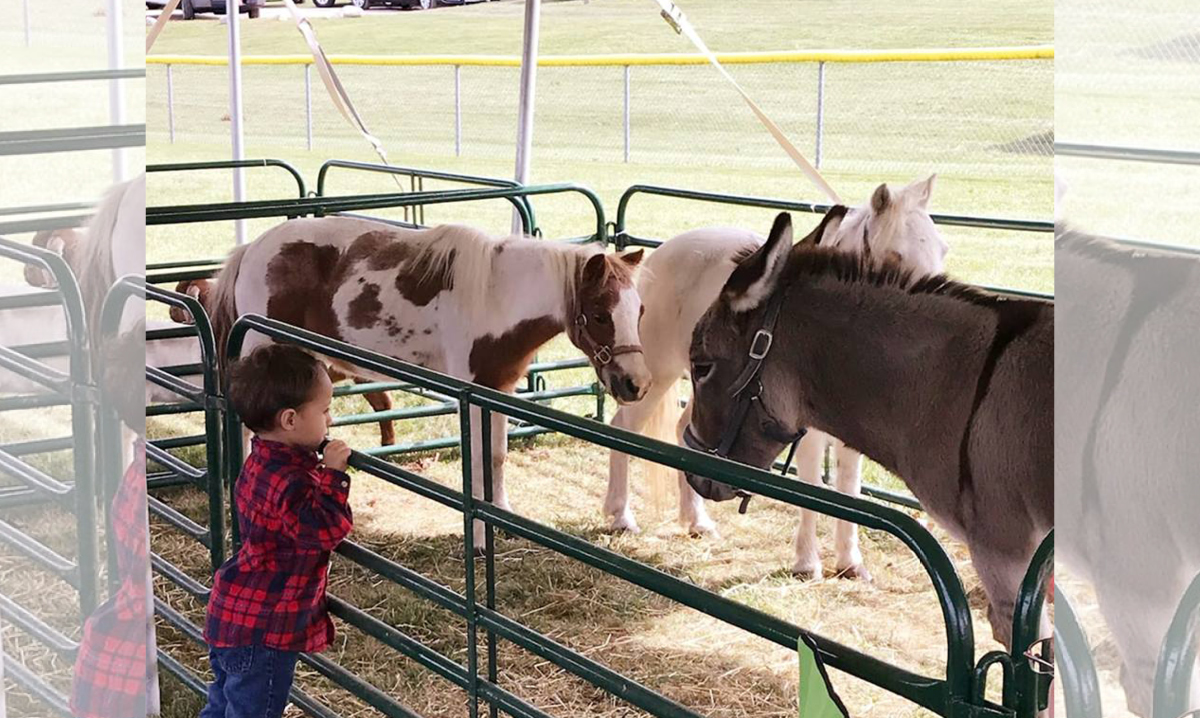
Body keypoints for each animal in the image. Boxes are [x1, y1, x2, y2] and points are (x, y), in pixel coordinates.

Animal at [208, 216, 651, 547]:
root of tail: (251, 250)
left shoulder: (499, 388)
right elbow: (478, 462)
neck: (498, 296)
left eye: (640, 310)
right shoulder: (473, 390)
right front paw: (479, 538)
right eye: (599, 314)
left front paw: (503, 517)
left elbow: (497, 457)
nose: (636, 384)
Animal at [606, 176, 946, 581]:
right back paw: (620, 516)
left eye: (942, 250)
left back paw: (696, 521)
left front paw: (850, 563)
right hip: (656, 374)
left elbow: (849, 489)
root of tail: (661, 255)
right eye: (895, 255)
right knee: (623, 427)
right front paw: (807, 563)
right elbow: (814, 485)